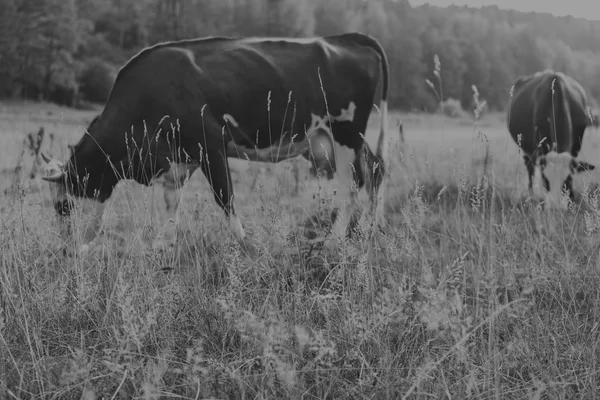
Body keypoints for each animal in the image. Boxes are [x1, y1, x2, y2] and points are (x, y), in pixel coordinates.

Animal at [41, 33, 390, 253]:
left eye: (63, 206)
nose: (64, 251)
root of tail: (344, 38)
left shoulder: (211, 146)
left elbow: (226, 201)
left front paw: (248, 250)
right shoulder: (177, 162)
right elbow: (170, 207)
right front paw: (162, 247)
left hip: (345, 133)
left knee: (351, 186)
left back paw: (334, 242)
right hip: (336, 140)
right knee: (374, 170)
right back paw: (370, 233)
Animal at [506, 69, 596, 205]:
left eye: (568, 180)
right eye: (546, 180)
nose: (556, 205)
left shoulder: (576, 147)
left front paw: (572, 198)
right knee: (530, 167)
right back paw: (531, 193)